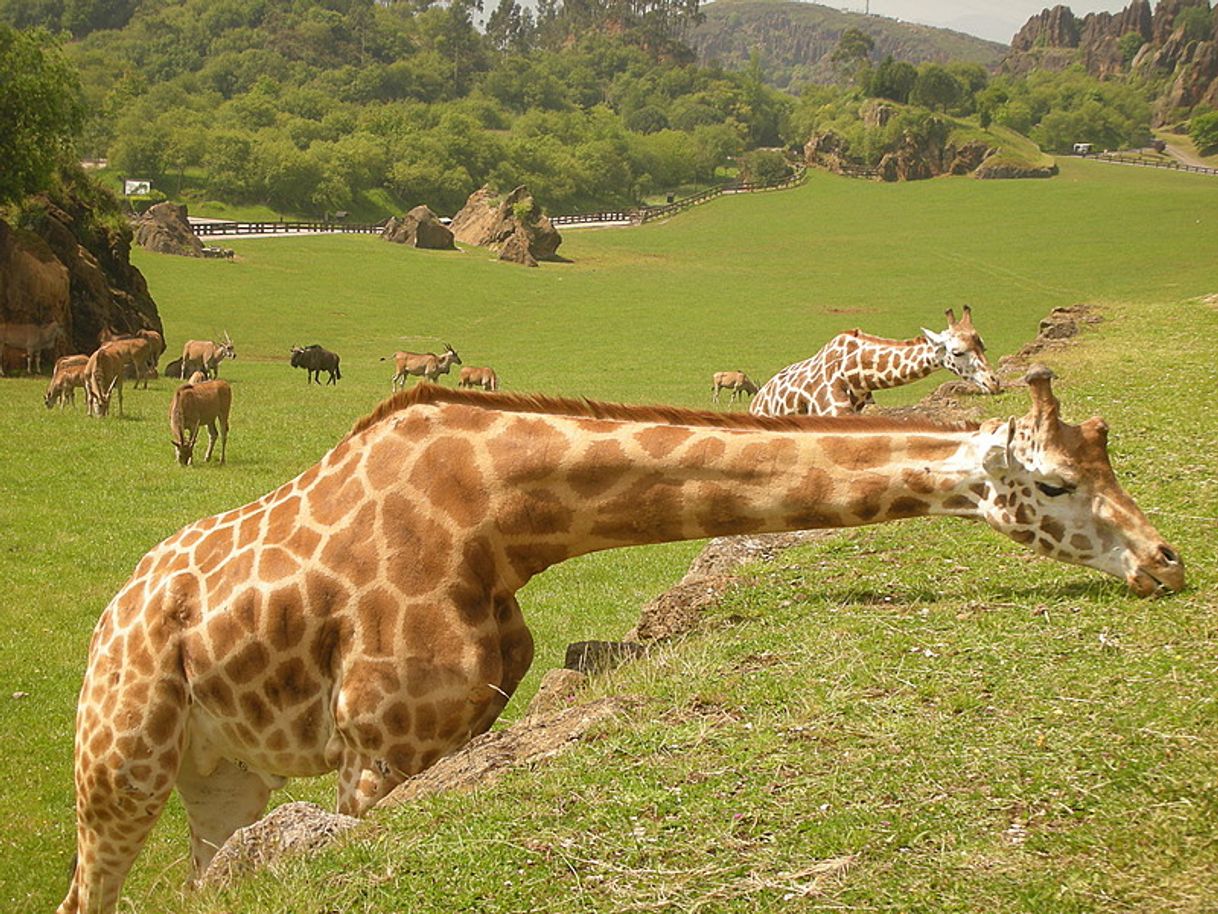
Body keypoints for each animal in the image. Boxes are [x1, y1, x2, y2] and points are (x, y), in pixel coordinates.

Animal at [57, 368, 1179, 914]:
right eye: (1054, 483)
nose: (1167, 561)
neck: (500, 520)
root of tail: (114, 612)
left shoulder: (458, 730)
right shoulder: (376, 748)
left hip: (222, 771)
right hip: (120, 758)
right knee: (85, 888)